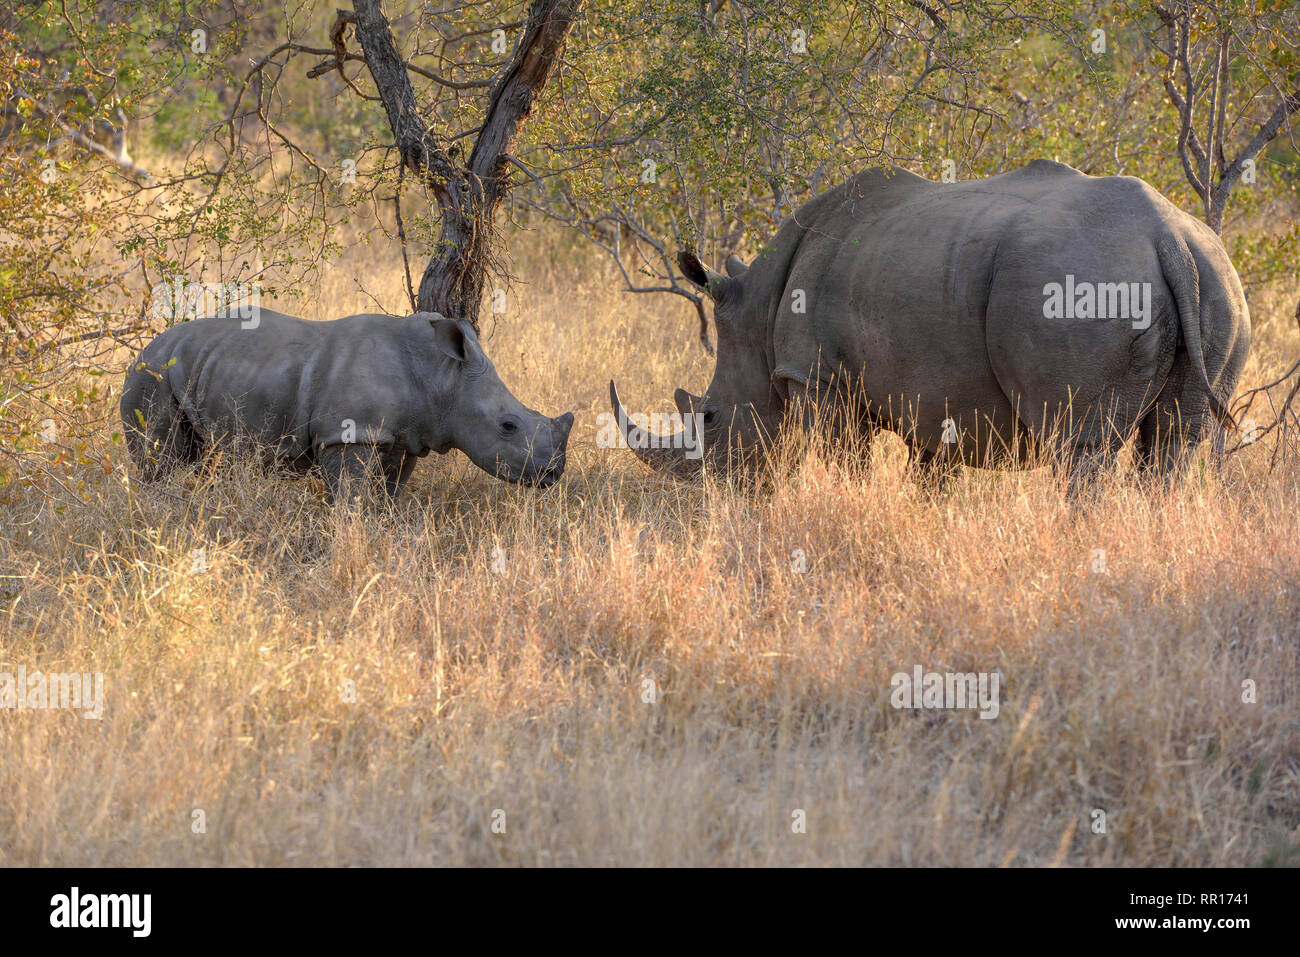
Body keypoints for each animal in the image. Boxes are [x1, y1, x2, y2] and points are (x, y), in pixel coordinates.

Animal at [122, 308, 574, 504]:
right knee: (160, 460)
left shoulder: (403, 437)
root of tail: (145, 347)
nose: (553, 475)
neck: (441, 377)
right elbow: (352, 496)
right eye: (508, 425)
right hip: (153, 377)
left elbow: (391, 491)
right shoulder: (349, 434)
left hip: (195, 367)